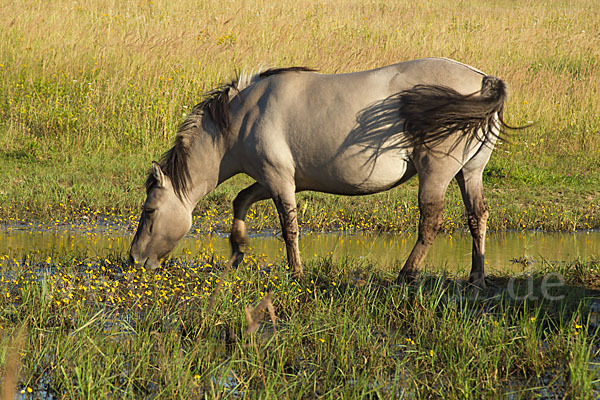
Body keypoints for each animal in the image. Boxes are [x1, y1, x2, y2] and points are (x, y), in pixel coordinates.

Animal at [129, 57, 512, 288]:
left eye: (149, 211)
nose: (134, 259)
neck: (242, 116)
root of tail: (483, 80)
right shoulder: (277, 181)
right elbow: (240, 201)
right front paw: (236, 254)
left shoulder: (279, 181)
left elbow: (289, 229)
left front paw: (296, 272)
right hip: (469, 173)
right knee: (477, 217)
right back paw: (476, 277)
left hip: (436, 174)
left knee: (430, 222)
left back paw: (407, 274)